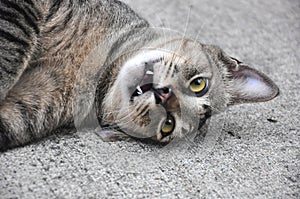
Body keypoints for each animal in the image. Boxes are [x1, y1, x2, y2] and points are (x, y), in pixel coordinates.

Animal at [0, 0, 278, 150]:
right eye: (199, 84)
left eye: (168, 125)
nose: (166, 97)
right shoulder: (24, 10)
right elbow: (10, 52)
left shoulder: (28, 109)